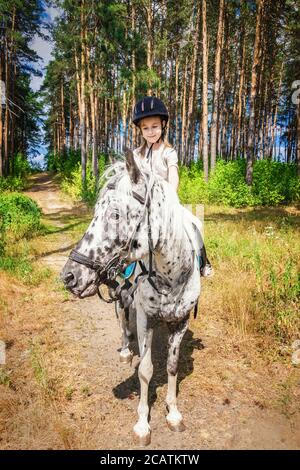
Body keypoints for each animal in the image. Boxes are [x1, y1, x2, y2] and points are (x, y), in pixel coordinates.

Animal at [60, 150, 202, 444]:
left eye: (115, 214)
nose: (69, 276)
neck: (171, 277)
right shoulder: (145, 318)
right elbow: (145, 370)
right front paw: (142, 424)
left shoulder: (181, 322)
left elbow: (172, 366)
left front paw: (173, 413)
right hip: (121, 295)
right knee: (123, 320)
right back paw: (126, 349)